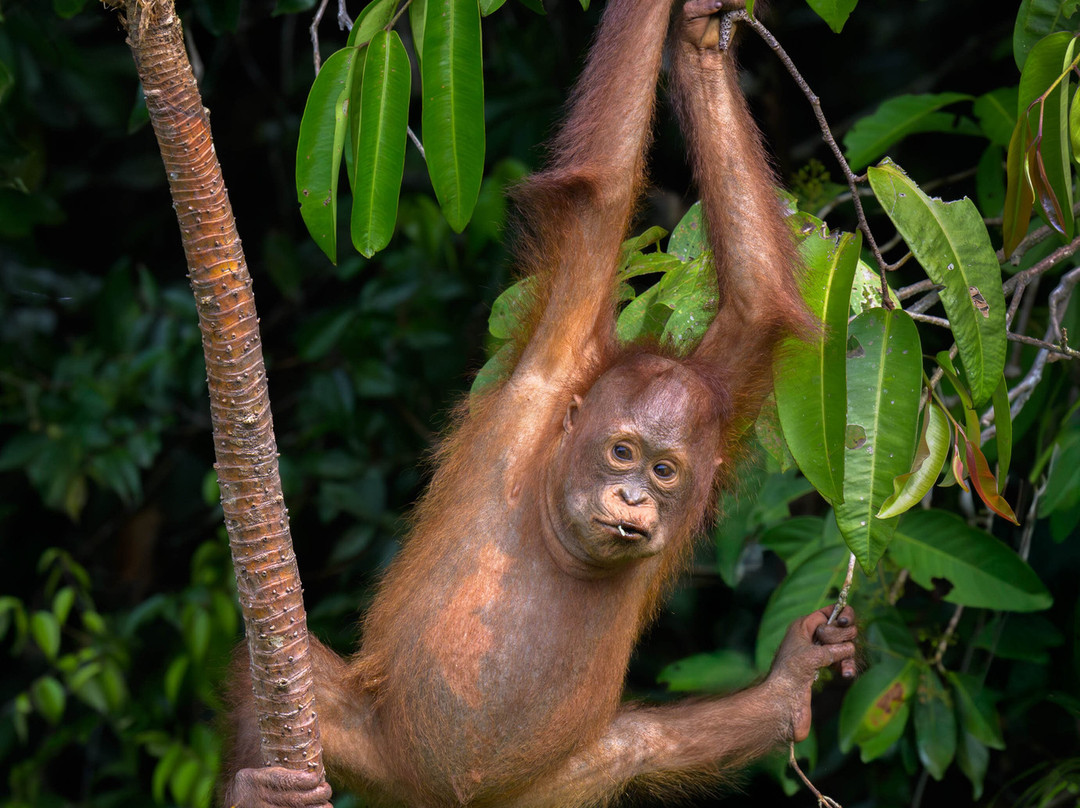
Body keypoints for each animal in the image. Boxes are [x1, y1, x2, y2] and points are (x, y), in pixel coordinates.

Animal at [222, 0, 857, 805]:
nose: (631, 497)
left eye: (664, 472)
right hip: (378, 745)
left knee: (635, 748)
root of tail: (436, 796)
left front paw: (699, 46)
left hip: (548, 788)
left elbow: (757, 302)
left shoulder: (722, 397)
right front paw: (683, 33)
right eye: (620, 451)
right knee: (269, 678)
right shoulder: (555, 362)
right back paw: (257, 789)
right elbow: (605, 192)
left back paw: (785, 696)